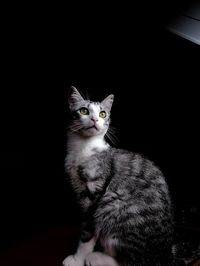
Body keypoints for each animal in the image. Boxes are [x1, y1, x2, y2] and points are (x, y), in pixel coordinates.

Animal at [63, 87, 198, 266]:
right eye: (84, 111)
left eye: (103, 114)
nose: (94, 119)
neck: (83, 148)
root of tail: (165, 254)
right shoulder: (78, 187)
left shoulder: (94, 194)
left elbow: (87, 233)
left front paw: (78, 259)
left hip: (113, 204)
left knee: (131, 261)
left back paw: (96, 257)